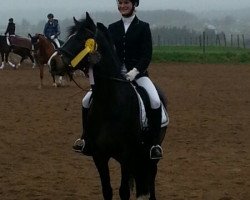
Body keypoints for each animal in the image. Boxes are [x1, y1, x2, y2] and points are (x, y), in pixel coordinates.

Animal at [49, 13, 168, 199]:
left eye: (82, 39)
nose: (53, 63)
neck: (109, 102)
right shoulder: (99, 155)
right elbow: (107, 190)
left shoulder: (127, 155)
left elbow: (124, 191)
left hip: (149, 153)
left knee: (151, 177)